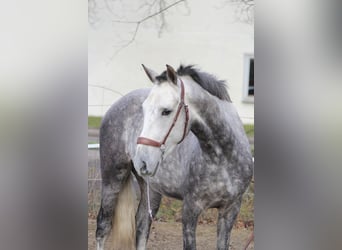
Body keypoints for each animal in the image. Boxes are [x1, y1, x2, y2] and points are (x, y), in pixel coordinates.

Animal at [95, 65, 252, 250]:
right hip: (112, 179)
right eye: (144, 109)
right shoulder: (190, 210)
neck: (222, 159)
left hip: (151, 189)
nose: (141, 160)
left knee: (142, 225)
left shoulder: (230, 210)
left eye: (166, 111)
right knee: (103, 226)